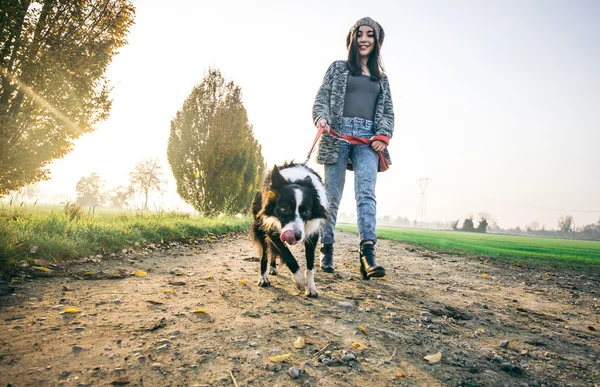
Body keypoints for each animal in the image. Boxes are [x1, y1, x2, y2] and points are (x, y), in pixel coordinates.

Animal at [248, 162, 328, 298]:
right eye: (284, 209)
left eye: (306, 212)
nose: (296, 236)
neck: (296, 180)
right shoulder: (270, 227)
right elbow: (286, 253)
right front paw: (299, 280)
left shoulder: (312, 233)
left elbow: (310, 263)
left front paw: (311, 287)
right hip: (260, 226)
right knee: (264, 253)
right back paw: (263, 278)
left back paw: (273, 267)